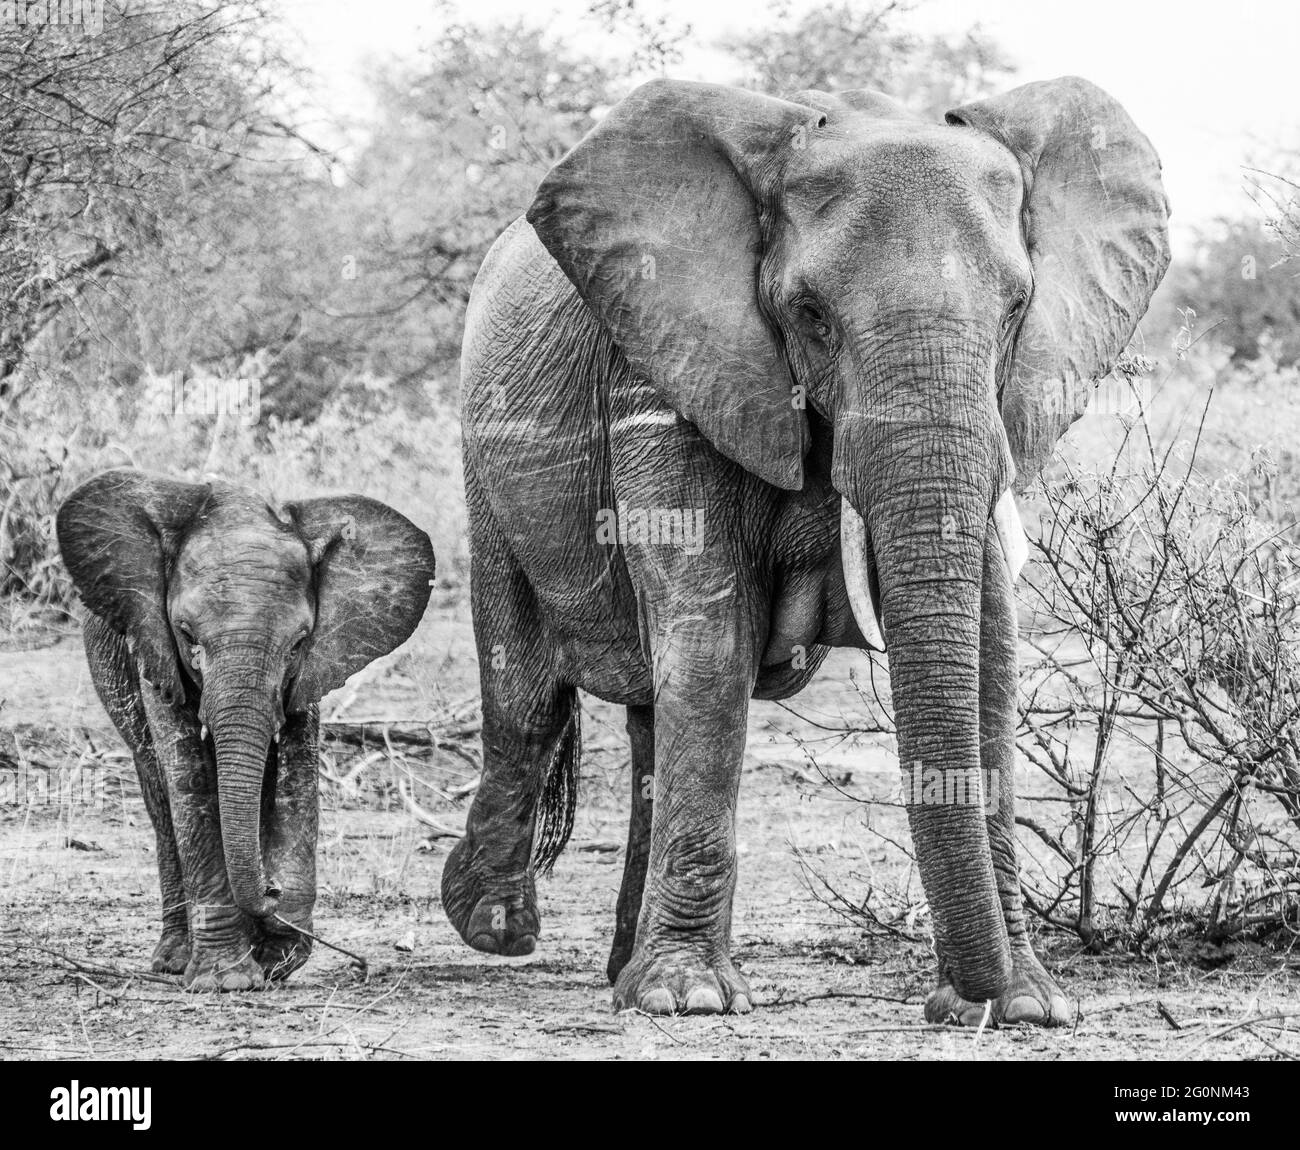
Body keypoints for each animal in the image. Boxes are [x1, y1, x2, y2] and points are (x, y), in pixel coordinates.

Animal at [57, 467, 436, 987]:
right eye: (187, 634)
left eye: (297, 643)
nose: (270, 892)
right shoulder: (154, 645)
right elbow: (190, 782)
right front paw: (227, 979)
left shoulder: (311, 670)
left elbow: (295, 776)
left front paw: (278, 952)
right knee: (158, 789)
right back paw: (174, 960)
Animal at [447, 76, 1170, 1018]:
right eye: (810, 316)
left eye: (1017, 309)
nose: (964, 1001)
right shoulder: (667, 367)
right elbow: (712, 638)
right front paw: (687, 999)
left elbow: (989, 648)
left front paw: (1027, 1006)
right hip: (483, 457)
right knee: (526, 698)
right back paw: (495, 926)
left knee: (643, 719)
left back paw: (618, 969)